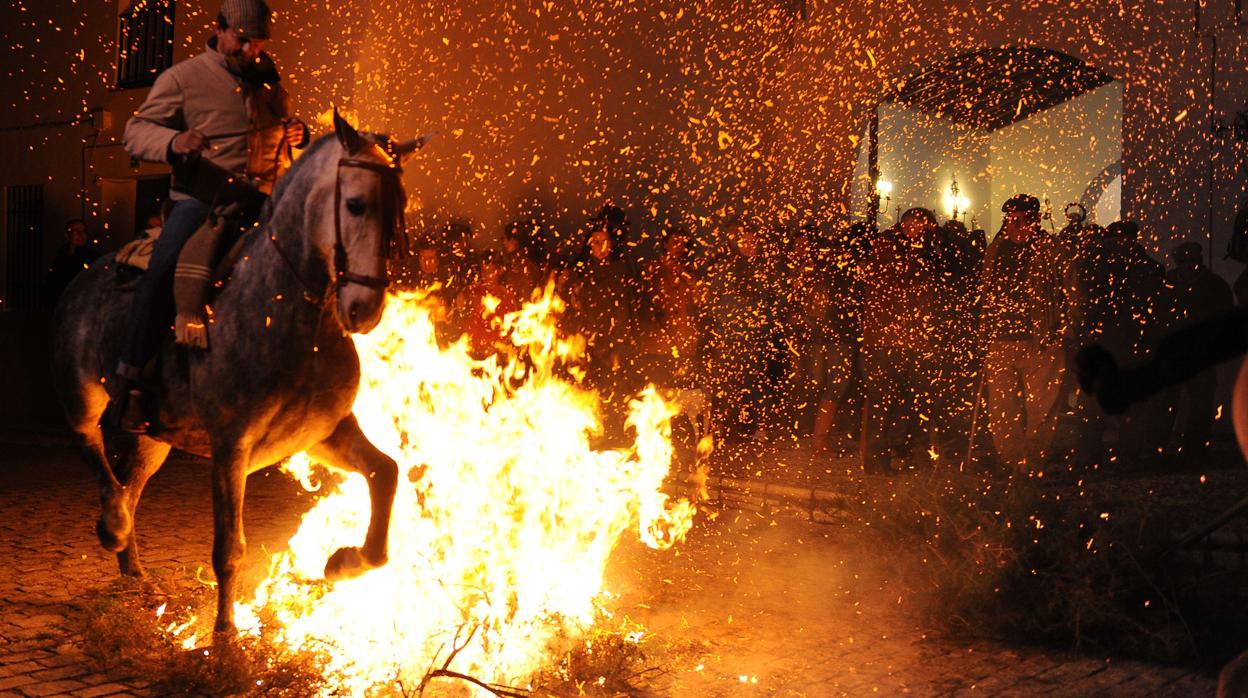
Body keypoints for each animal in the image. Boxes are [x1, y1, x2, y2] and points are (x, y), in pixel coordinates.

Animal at [53, 113, 421, 634]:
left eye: (400, 208)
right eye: (355, 204)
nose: (364, 308)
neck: (285, 313)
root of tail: (88, 271)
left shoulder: (322, 433)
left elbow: (385, 473)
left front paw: (344, 561)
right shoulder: (231, 448)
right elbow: (229, 549)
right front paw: (225, 636)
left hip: (154, 436)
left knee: (130, 481)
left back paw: (133, 568)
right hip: (83, 396)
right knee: (92, 448)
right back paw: (113, 526)